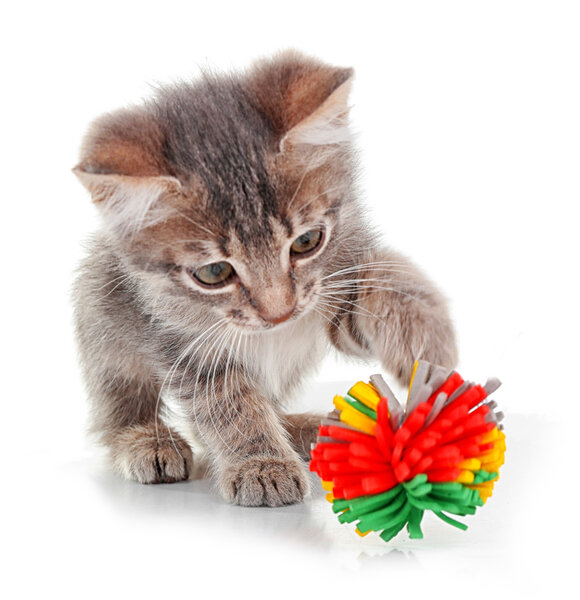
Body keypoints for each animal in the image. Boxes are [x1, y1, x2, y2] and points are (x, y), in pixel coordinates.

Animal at [71, 50, 458, 506]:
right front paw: (261, 464)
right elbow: (226, 400)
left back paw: (308, 430)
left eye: (307, 241)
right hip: (100, 299)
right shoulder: (180, 340)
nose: (280, 313)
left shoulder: (335, 280)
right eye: (214, 273)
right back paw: (144, 439)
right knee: (119, 398)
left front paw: (423, 331)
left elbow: (378, 286)